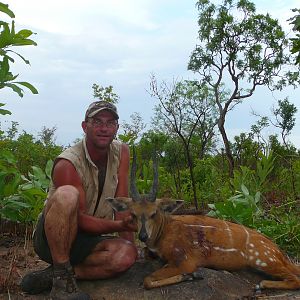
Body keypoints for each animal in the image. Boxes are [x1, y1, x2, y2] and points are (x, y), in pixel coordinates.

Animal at [106, 154, 298, 290]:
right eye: (133, 214)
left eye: (154, 213)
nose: (143, 236)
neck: (163, 233)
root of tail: (279, 251)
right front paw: (190, 276)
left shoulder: (184, 260)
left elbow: (147, 279)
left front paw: (191, 275)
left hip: (263, 260)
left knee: (296, 279)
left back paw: (260, 285)